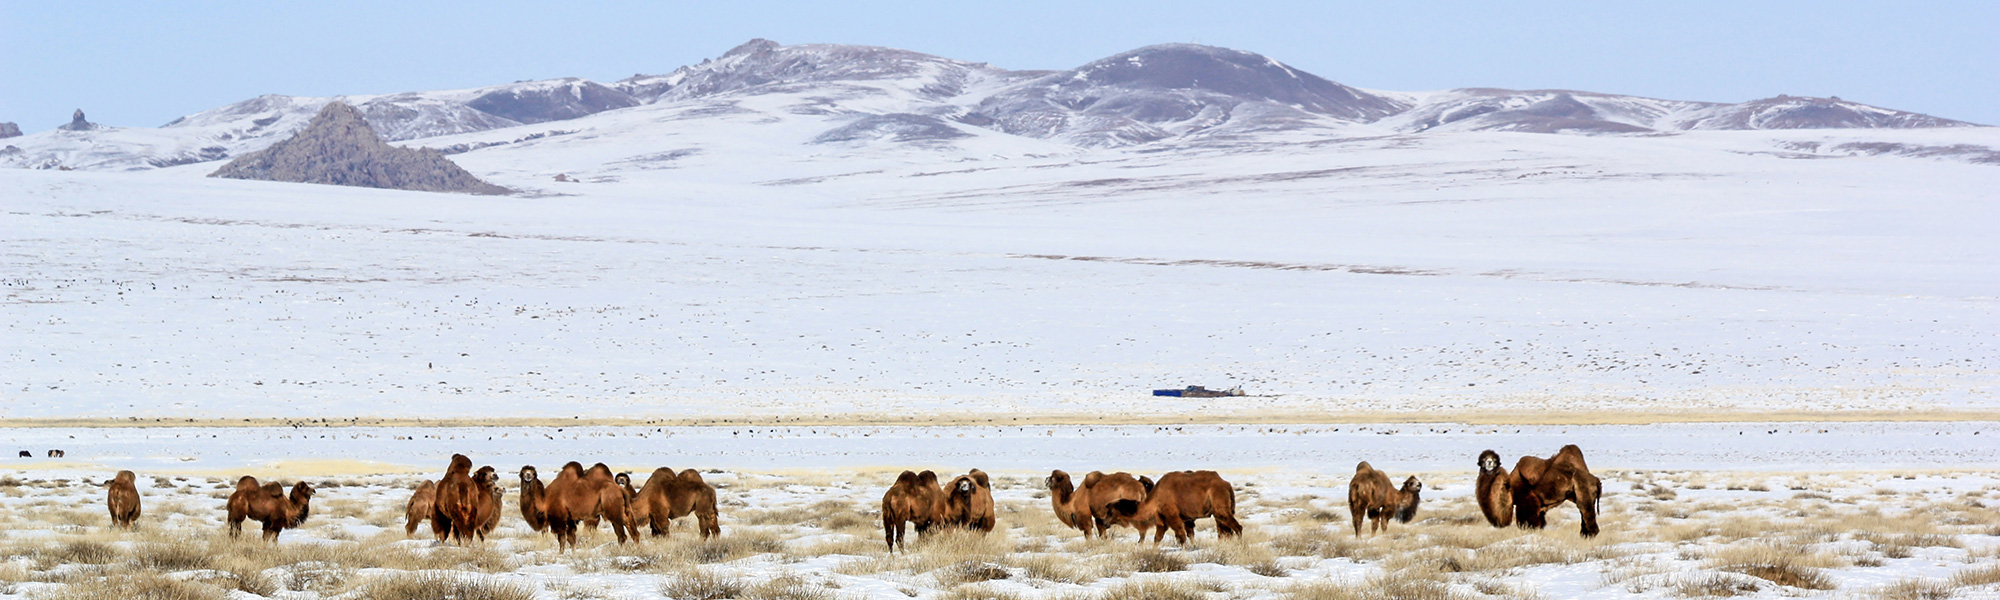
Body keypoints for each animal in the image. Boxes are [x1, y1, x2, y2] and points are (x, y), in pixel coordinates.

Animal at [1104, 472, 1240, 548]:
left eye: (1110, 512)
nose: (1104, 523)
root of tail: (1226, 485)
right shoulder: (1162, 520)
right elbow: (1157, 538)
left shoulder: (1173, 517)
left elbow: (1181, 536)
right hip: (1221, 513)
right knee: (1225, 532)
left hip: (1221, 510)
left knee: (1237, 528)